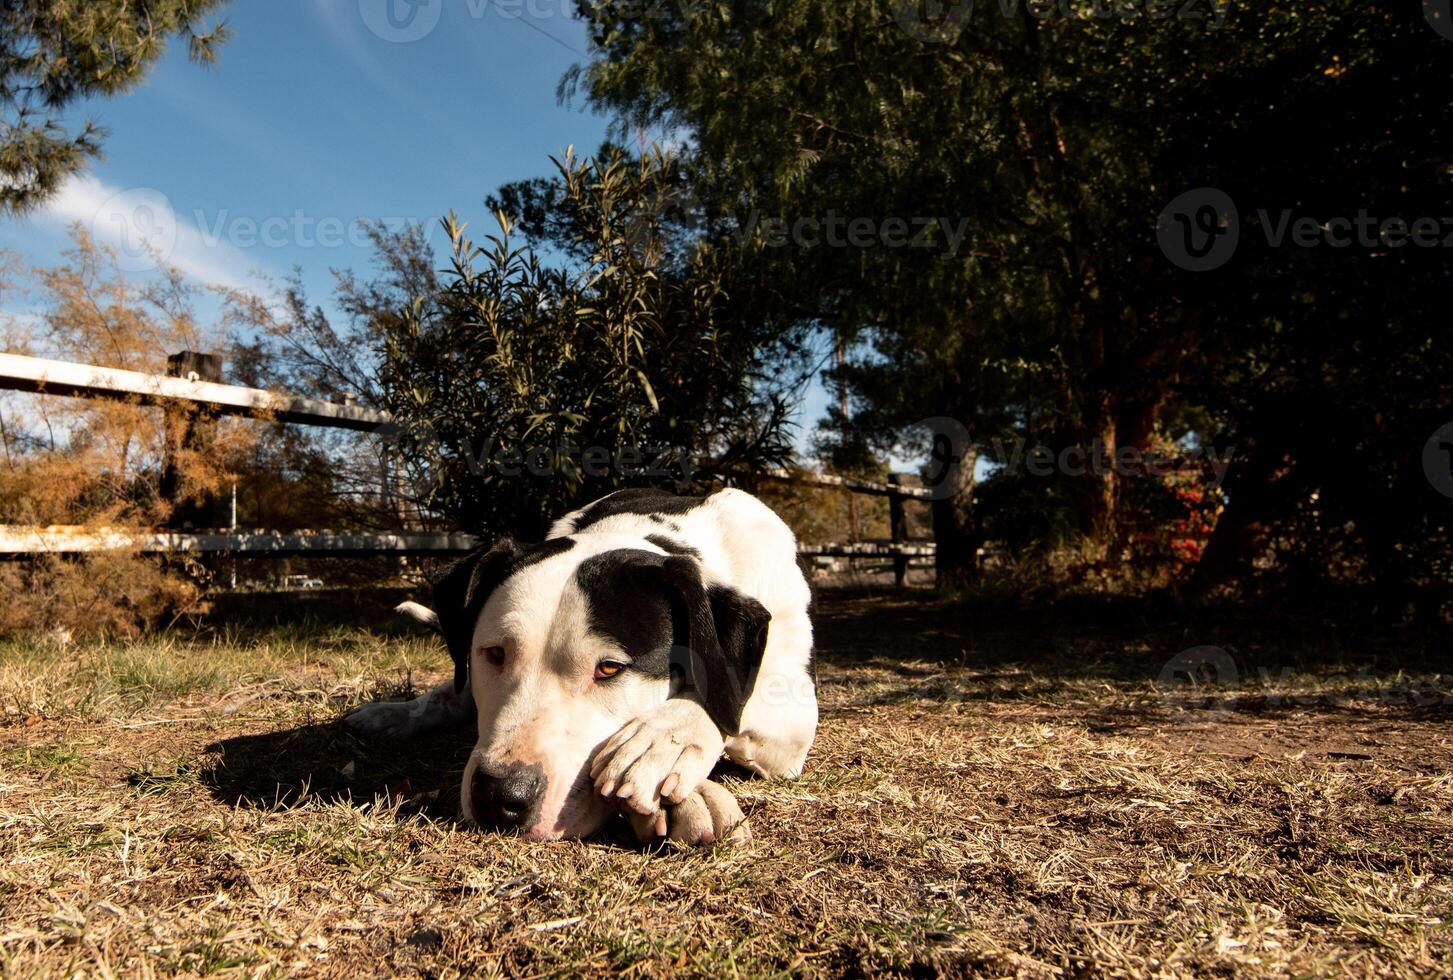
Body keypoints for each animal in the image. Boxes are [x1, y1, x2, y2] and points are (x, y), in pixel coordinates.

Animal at [342, 485, 819, 837]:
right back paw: (394, 714)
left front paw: (663, 741)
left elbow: (731, 695)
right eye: (494, 653)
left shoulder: (795, 706)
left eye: (609, 668)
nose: (499, 797)